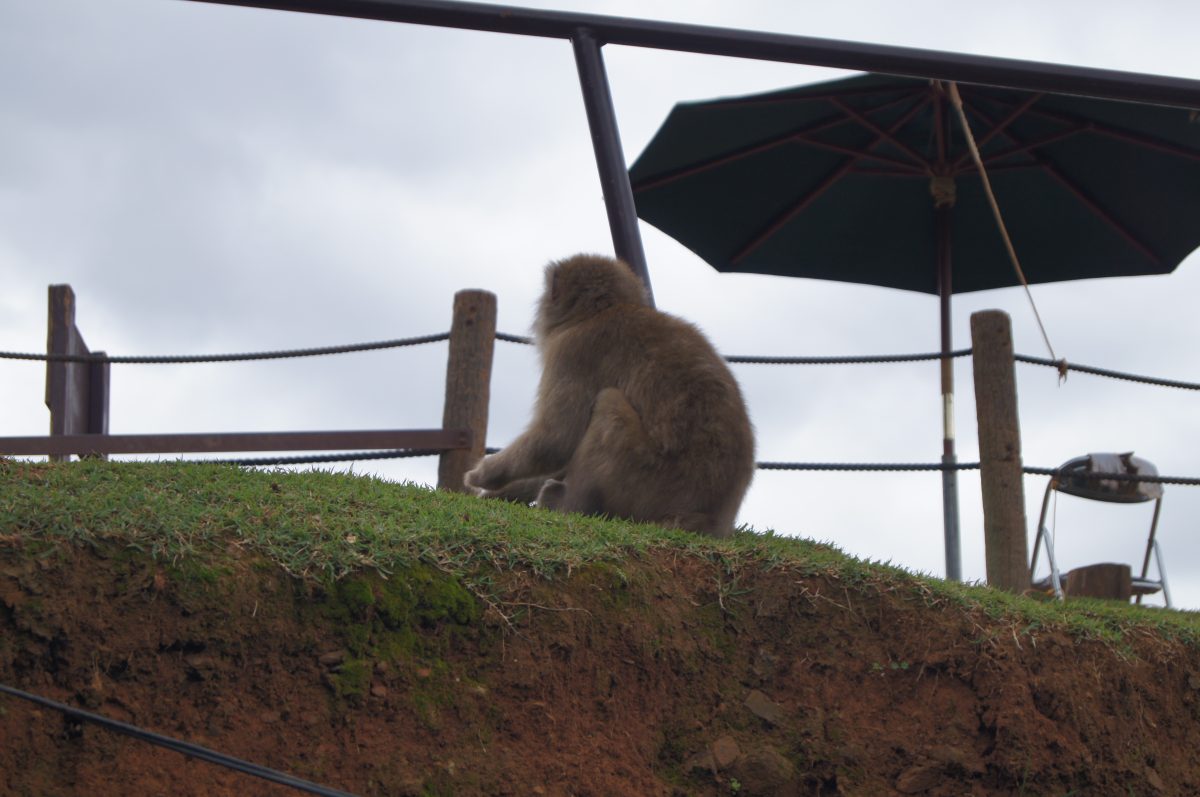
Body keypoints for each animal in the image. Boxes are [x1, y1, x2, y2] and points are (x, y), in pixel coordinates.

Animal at [464, 253, 755, 538]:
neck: (602, 310)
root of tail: (706, 520)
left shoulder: (572, 351)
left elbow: (556, 439)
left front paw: (482, 475)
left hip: (646, 484)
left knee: (608, 404)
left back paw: (569, 505)